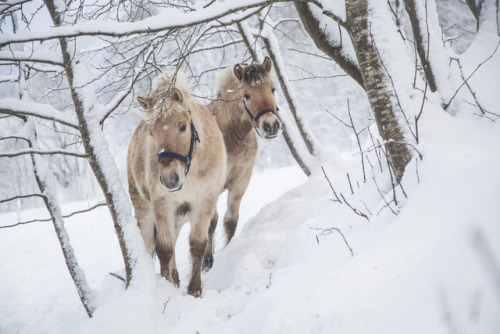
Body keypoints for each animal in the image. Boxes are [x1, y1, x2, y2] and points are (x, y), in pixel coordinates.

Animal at [127, 72, 227, 296]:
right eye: (152, 132)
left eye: (182, 126)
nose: (169, 179)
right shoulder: (162, 204)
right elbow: (164, 249)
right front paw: (169, 288)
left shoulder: (205, 200)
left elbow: (197, 244)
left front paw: (194, 290)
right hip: (145, 210)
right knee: (151, 245)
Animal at [203, 56, 282, 272]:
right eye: (246, 95)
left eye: (273, 89)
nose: (271, 126)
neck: (230, 136)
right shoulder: (211, 186)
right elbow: (211, 223)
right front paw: (207, 262)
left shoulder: (241, 181)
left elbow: (230, 221)